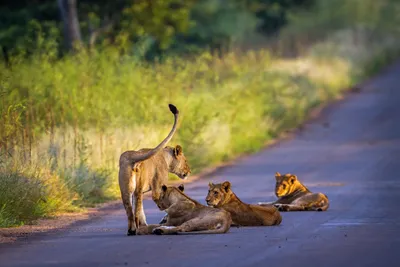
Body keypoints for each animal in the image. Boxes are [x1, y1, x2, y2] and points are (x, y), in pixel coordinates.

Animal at [118, 103, 191, 236]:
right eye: (186, 161)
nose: (189, 172)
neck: (165, 158)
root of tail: (132, 158)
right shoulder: (159, 188)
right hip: (142, 188)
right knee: (137, 209)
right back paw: (137, 230)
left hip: (125, 189)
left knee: (130, 209)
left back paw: (132, 230)